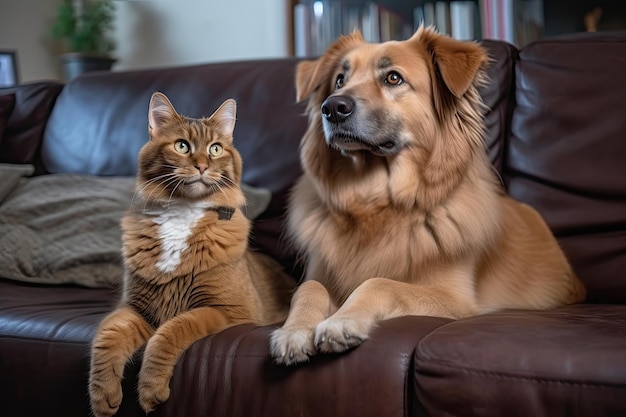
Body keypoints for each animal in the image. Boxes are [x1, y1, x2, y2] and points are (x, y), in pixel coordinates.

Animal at [88, 92, 294, 416]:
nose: (201, 166)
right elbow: (107, 336)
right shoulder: (135, 308)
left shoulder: (227, 310)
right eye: (182, 146)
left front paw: (151, 389)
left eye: (215, 149)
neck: (182, 214)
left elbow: (171, 330)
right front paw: (103, 396)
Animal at [270, 26, 584, 364]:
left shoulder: (454, 299)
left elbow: (379, 283)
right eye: (340, 79)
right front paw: (293, 331)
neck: (374, 203)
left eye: (393, 78)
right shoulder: (319, 276)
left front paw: (342, 321)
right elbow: (309, 288)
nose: (331, 108)